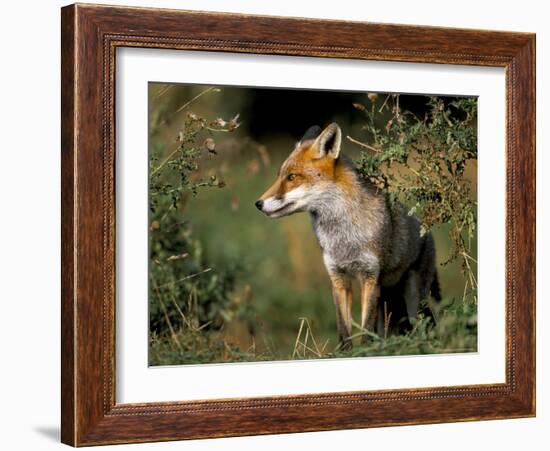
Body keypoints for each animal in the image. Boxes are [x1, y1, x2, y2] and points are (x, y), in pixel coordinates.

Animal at [256, 122, 442, 350]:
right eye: (280, 176)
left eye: (292, 177)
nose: (258, 203)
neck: (343, 239)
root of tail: (427, 230)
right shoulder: (338, 278)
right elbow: (344, 330)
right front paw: (346, 353)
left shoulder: (370, 277)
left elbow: (366, 329)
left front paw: (366, 351)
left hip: (415, 299)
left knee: (425, 325)